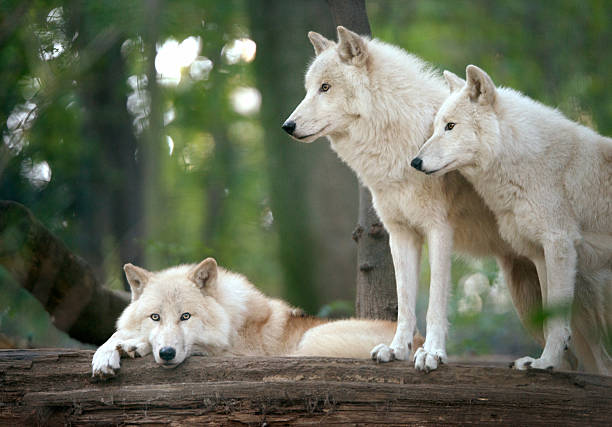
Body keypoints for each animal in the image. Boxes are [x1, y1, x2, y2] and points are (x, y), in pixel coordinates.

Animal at [92, 258, 416, 378]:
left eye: (186, 316)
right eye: (155, 317)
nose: (168, 353)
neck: (233, 319)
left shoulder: (235, 352)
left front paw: (134, 346)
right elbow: (115, 334)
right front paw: (106, 354)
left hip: (313, 339)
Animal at [412, 64, 612, 374]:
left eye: (450, 126)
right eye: (436, 127)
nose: (415, 162)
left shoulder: (559, 245)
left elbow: (557, 323)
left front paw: (545, 364)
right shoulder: (540, 254)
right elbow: (550, 318)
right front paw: (545, 362)